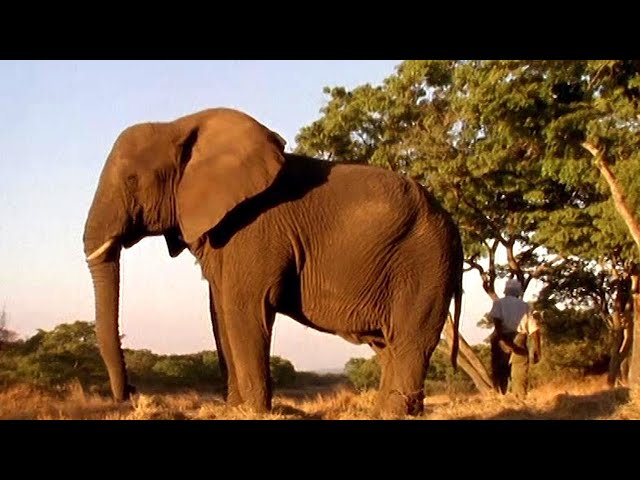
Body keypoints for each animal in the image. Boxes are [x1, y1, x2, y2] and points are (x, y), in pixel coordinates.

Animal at [83, 107, 464, 417]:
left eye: (132, 180)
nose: (132, 392)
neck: (179, 125)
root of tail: (451, 222)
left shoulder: (255, 228)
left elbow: (243, 307)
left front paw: (251, 410)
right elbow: (220, 313)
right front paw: (234, 409)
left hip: (425, 261)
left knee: (409, 340)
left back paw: (393, 412)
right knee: (387, 346)